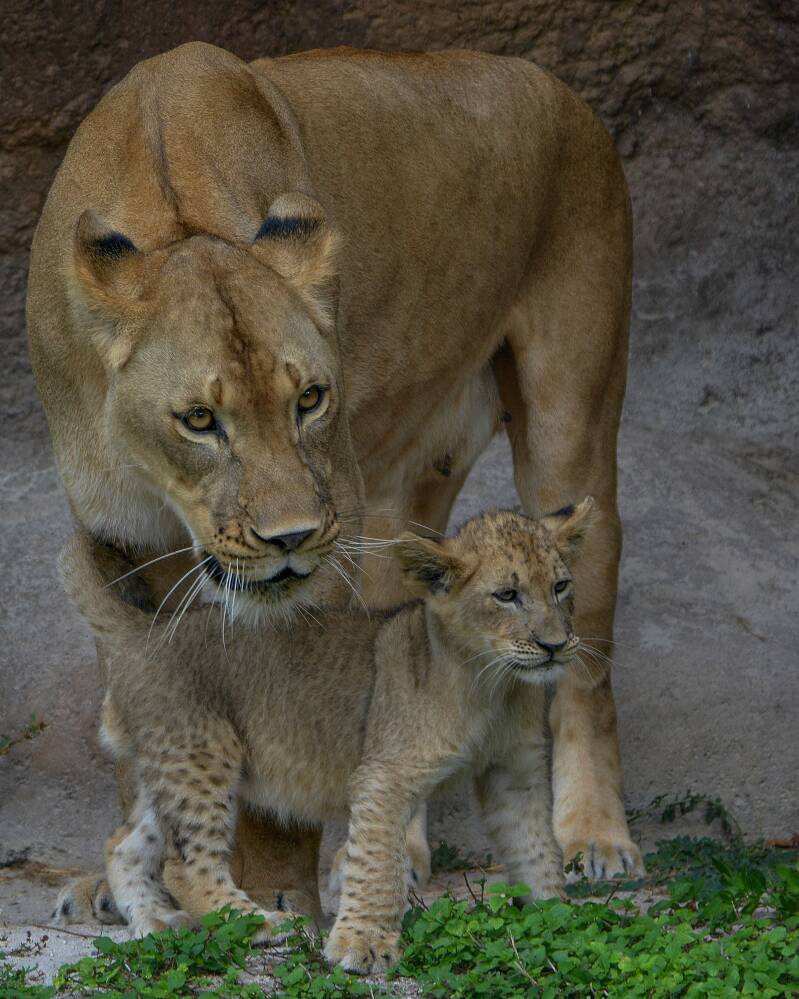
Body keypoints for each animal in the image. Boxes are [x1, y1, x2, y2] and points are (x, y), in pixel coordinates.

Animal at [27, 41, 641, 922]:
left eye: (309, 399)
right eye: (199, 420)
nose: (288, 539)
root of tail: (560, 89)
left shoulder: (324, 541)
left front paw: (270, 888)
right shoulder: (123, 541)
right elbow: (146, 699)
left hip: (568, 430)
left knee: (585, 670)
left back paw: (594, 837)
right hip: (397, 509)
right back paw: (400, 858)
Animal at [58, 501, 595, 971]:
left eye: (561, 586)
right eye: (506, 596)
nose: (555, 645)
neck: (495, 684)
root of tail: (146, 629)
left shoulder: (515, 770)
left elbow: (536, 847)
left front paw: (559, 919)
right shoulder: (385, 775)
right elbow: (378, 863)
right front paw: (363, 946)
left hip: (167, 764)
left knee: (125, 846)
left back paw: (157, 924)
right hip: (202, 756)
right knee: (185, 864)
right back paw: (263, 923)